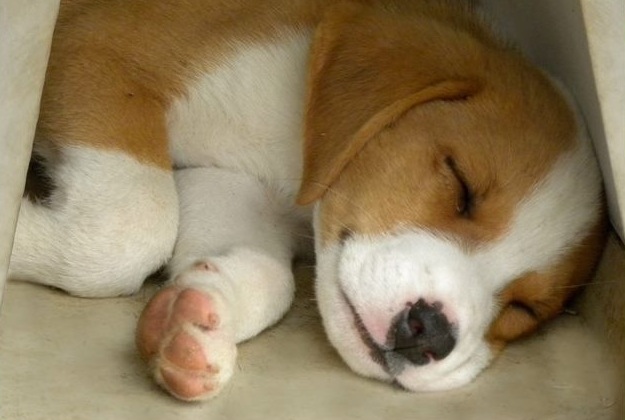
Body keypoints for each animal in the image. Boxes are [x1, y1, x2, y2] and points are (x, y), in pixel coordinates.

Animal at [9, 0, 606, 401]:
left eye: (526, 310)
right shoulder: (97, 53)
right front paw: (14, 232)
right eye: (461, 186)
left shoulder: (224, 185)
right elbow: (131, 230)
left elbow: (265, 275)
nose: (430, 334)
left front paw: (201, 318)